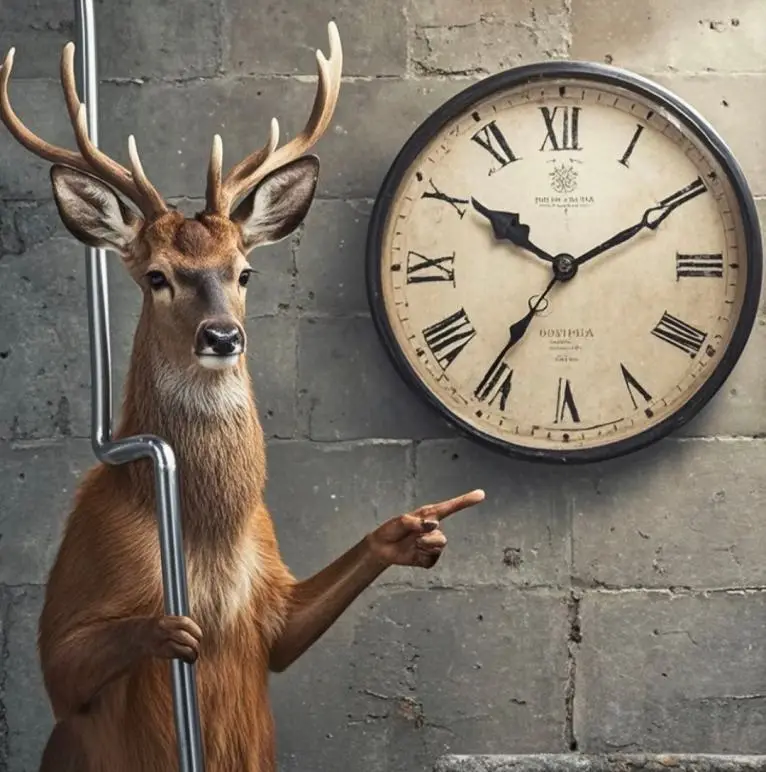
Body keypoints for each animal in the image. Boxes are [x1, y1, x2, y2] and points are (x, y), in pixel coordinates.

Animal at [0, 20, 485, 772]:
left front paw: (415, 531)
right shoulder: (71, 601)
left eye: (244, 271)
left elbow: (292, 624)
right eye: (157, 276)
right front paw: (171, 628)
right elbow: (68, 662)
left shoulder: (268, 597)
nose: (223, 335)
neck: (206, 537)